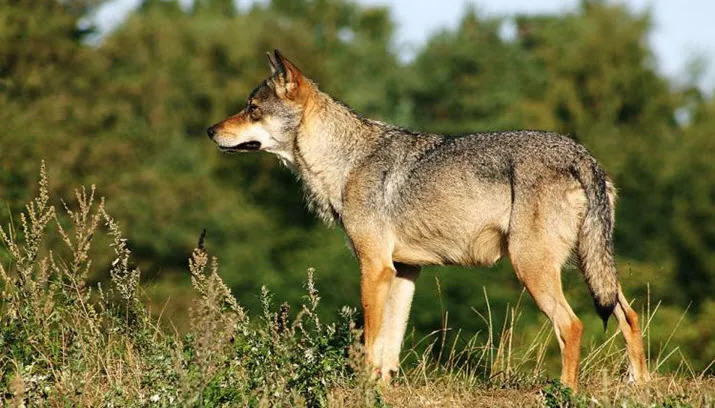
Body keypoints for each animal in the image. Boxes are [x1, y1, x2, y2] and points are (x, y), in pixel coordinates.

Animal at [206, 50, 650, 389]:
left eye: (251, 109)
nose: (210, 130)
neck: (345, 161)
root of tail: (583, 155)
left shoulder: (375, 268)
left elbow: (370, 339)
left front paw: (362, 387)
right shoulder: (404, 271)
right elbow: (390, 344)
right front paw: (381, 388)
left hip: (533, 269)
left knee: (572, 326)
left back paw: (565, 391)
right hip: (589, 267)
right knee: (628, 315)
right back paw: (639, 385)